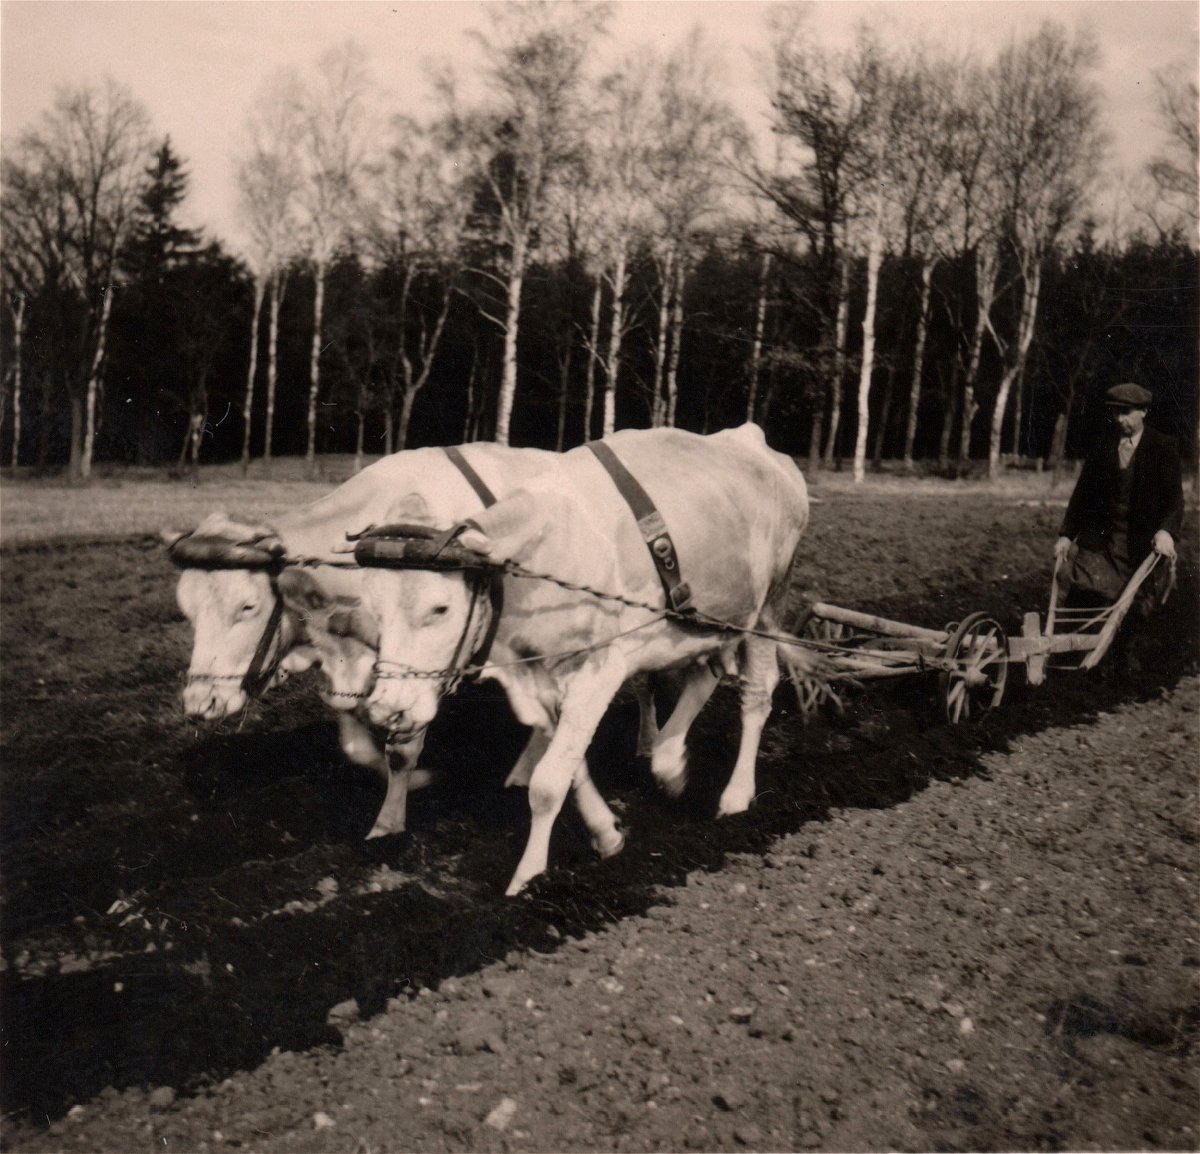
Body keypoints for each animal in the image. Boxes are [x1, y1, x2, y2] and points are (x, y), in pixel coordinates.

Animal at [360, 422, 820, 892]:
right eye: (373, 607)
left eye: (440, 608)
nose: (384, 709)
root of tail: (751, 438)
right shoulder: (540, 677)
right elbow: (568, 761)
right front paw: (606, 833)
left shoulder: (599, 668)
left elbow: (548, 783)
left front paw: (527, 879)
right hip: (708, 621)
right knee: (705, 675)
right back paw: (669, 762)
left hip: (768, 606)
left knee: (756, 696)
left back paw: (736, 796)